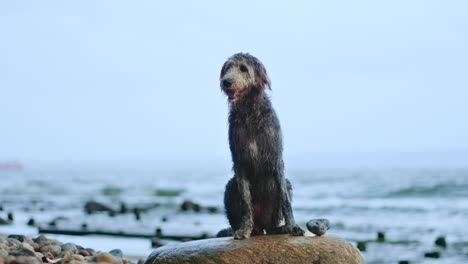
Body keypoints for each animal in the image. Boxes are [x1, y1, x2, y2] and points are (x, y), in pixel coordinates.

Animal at [218, 53, 306, 239]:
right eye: (228, 68)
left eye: (243, 68)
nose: (226, 82)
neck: (249, 112)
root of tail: (261, 227)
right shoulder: (239, 160)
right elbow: (246, 201)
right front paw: (244, 229)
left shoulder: (275, 157)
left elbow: (285, 199)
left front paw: (293, 226)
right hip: (230, 187)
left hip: (282, 193)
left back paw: (280, 228)